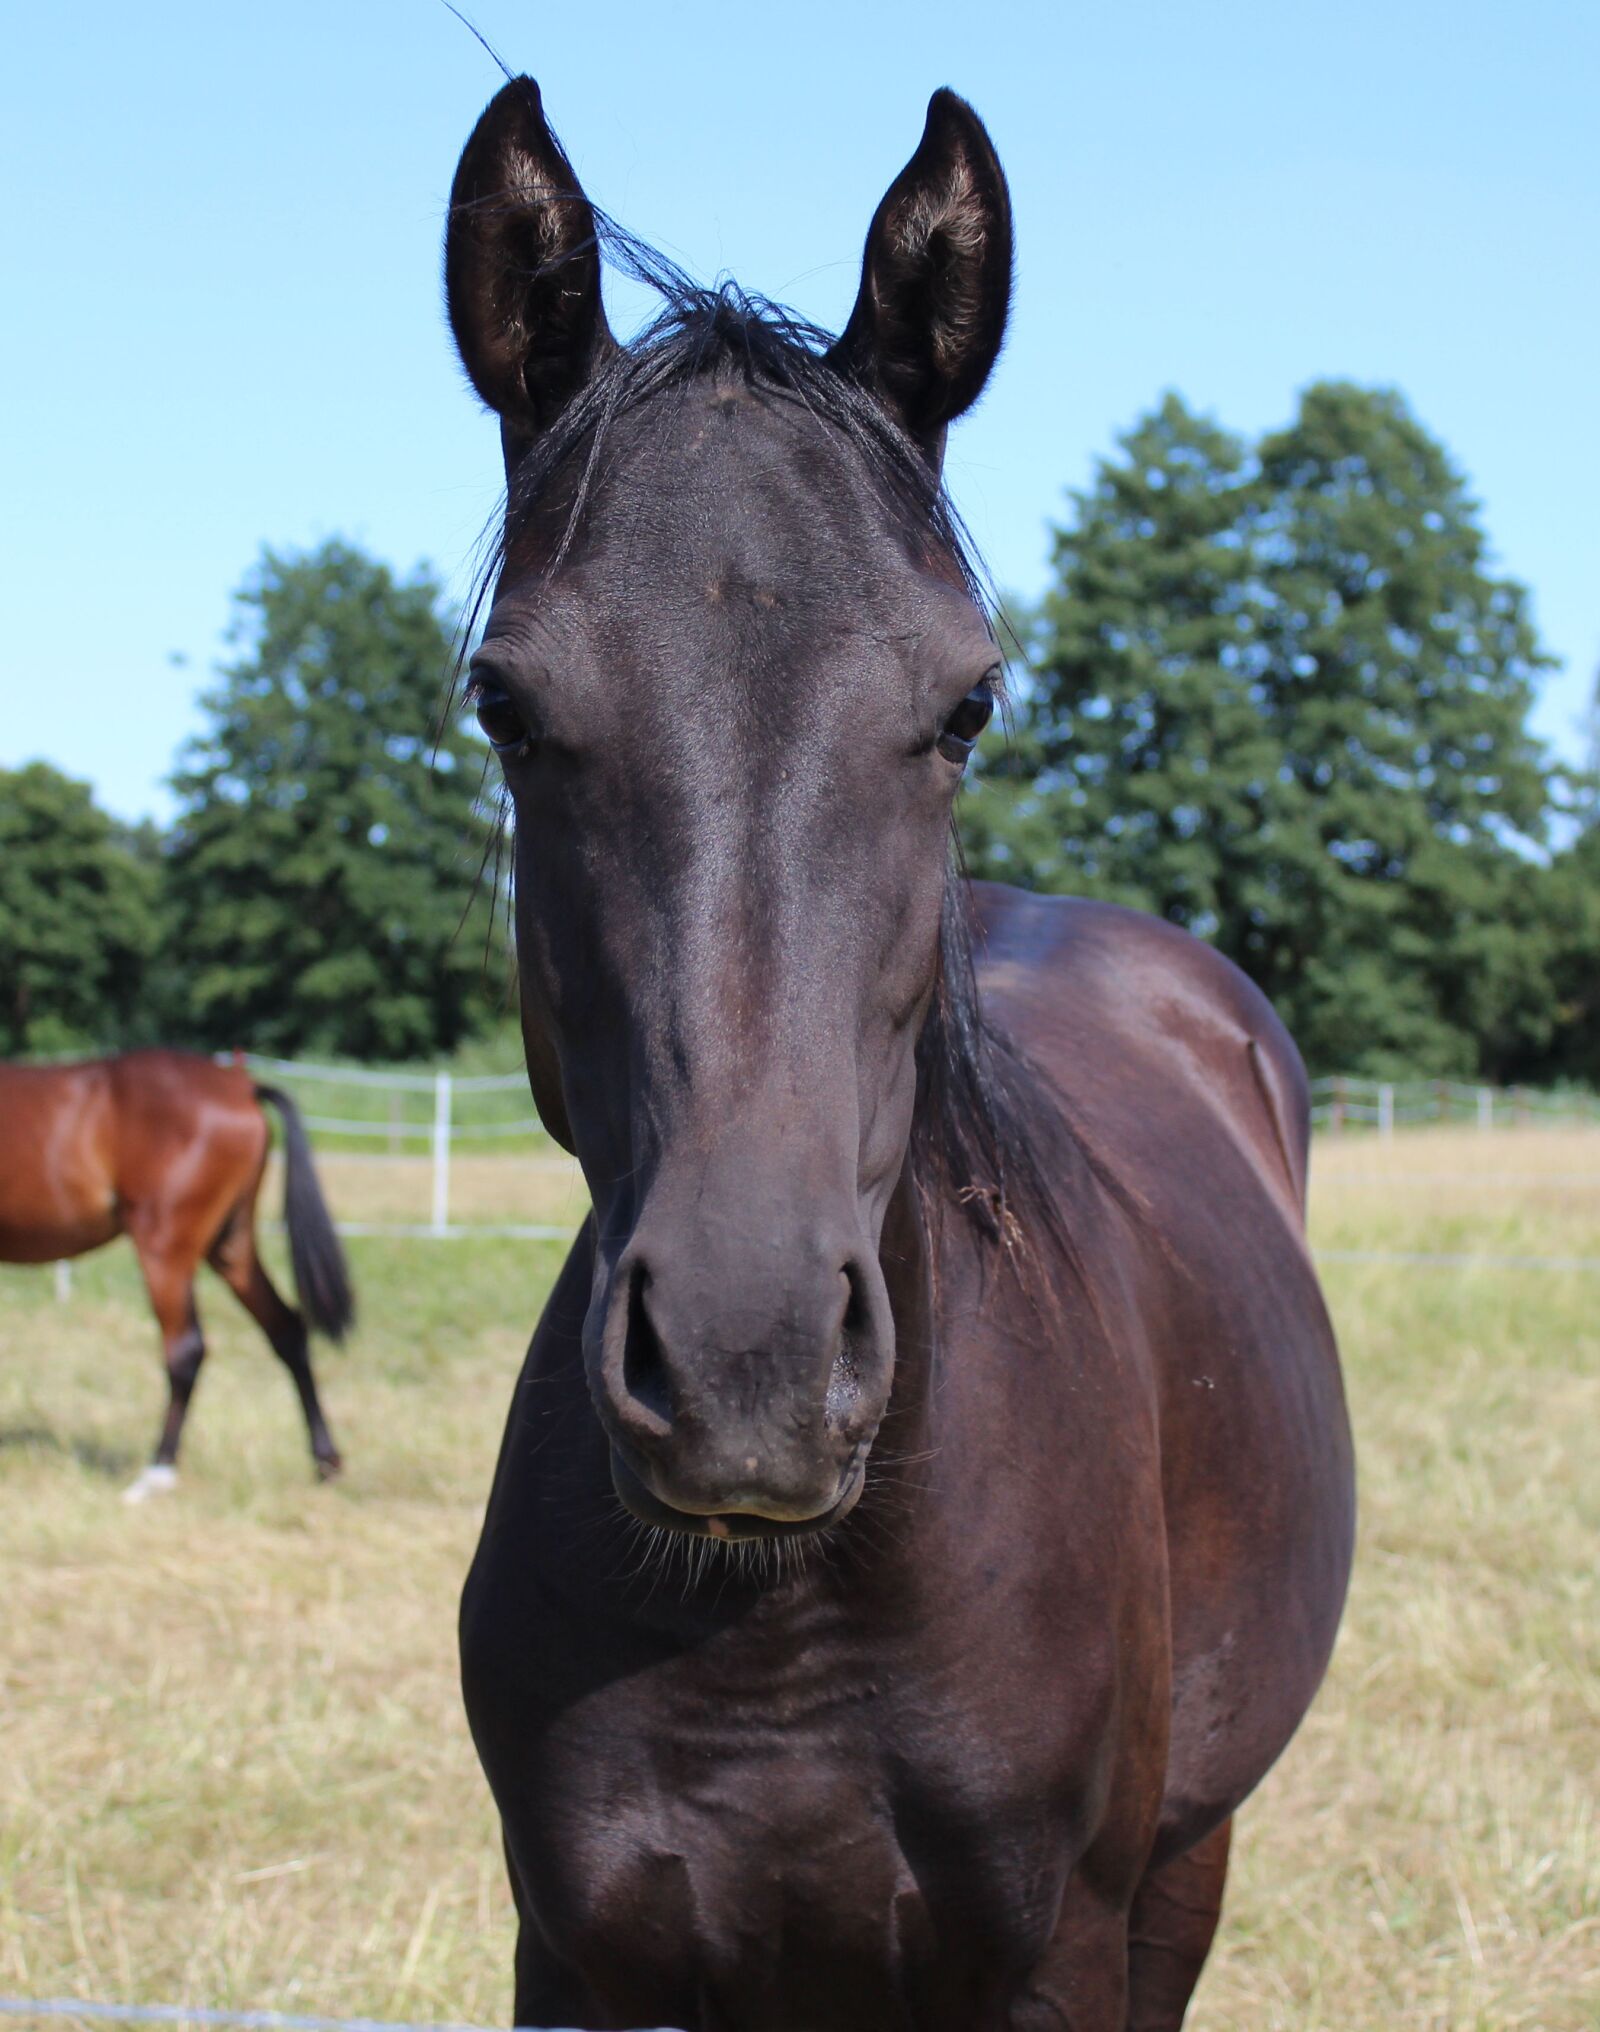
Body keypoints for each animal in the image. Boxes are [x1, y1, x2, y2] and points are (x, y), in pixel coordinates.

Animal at [0, 1050, 350, 1498]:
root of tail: (240, 1086)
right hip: (230, 1246)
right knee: (286, 1329)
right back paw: (326, 1461)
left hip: (164, 1249)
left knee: (186, 1350)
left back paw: (157, 1472)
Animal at [447, 77, 1355, 2032]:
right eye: (507, 704)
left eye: (965, 705)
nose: (749, 1359)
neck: (789, 1621)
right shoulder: (574, 1951)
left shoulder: (1060, 1952)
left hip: (1190, 1863)